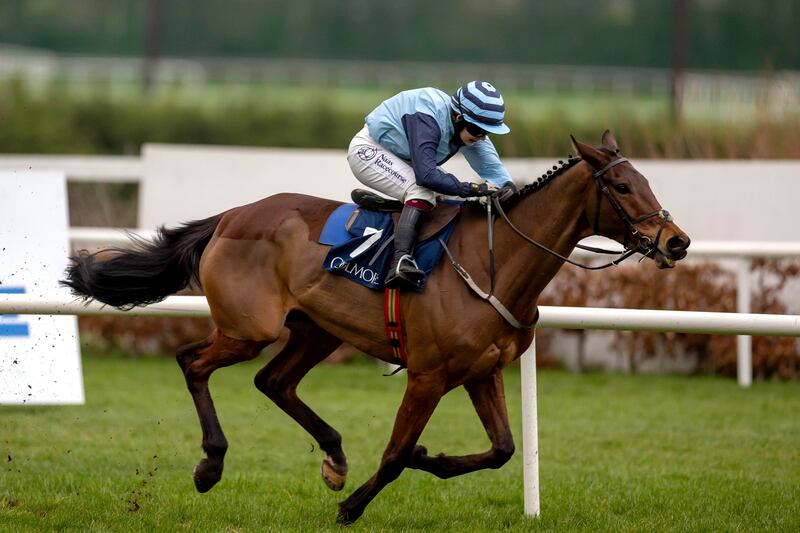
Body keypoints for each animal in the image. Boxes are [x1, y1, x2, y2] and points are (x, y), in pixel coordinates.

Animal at [62, 131, 692, 520]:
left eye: (648, 181)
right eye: (623, 186)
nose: (676, 242)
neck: (497, 262)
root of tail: (233, 215)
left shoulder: (480, 372)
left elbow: (503, 449)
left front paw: (427, 459)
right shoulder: (428, 376)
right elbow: (393, 455)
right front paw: (354, 506)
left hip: (317, 328)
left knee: (273, 382)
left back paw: (334, 459)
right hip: (250, 329)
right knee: (193, 362)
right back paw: (211, 464)